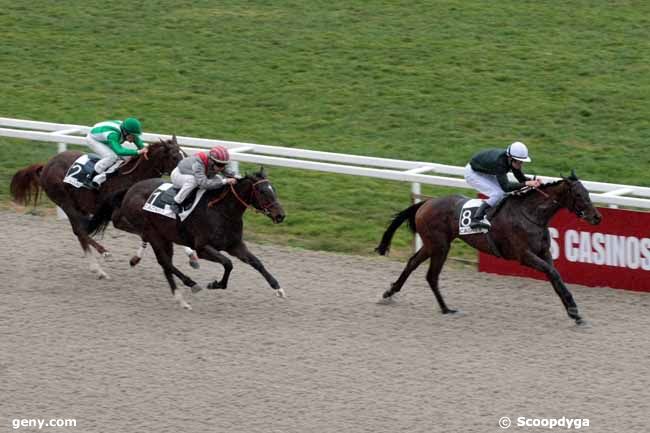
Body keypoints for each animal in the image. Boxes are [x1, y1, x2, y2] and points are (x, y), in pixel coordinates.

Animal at [10, 135, 182, 276]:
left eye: (184, 155)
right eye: (174, 157)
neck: (133, 178)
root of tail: (47, 165)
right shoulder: (118, 219)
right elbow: (145, 235)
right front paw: (135, 259)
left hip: (80, 206)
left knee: (80, 232)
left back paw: (97, 269)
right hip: (65, 201)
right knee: (80, 230)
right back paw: (103, 254)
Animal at [374, 171, 604, 324]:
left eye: (588, 192)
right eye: (578, 195)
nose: (597, 217)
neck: (531, 215)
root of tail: (425, 203)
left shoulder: (544, 252)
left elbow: (555, 277)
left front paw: (574, 312)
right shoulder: (524, 255)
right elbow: (553, 273)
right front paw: (573, 309)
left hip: (432, 245)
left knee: (413, 263)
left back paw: (390, 293)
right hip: (440, 246)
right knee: (431, 275)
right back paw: (446, 309)